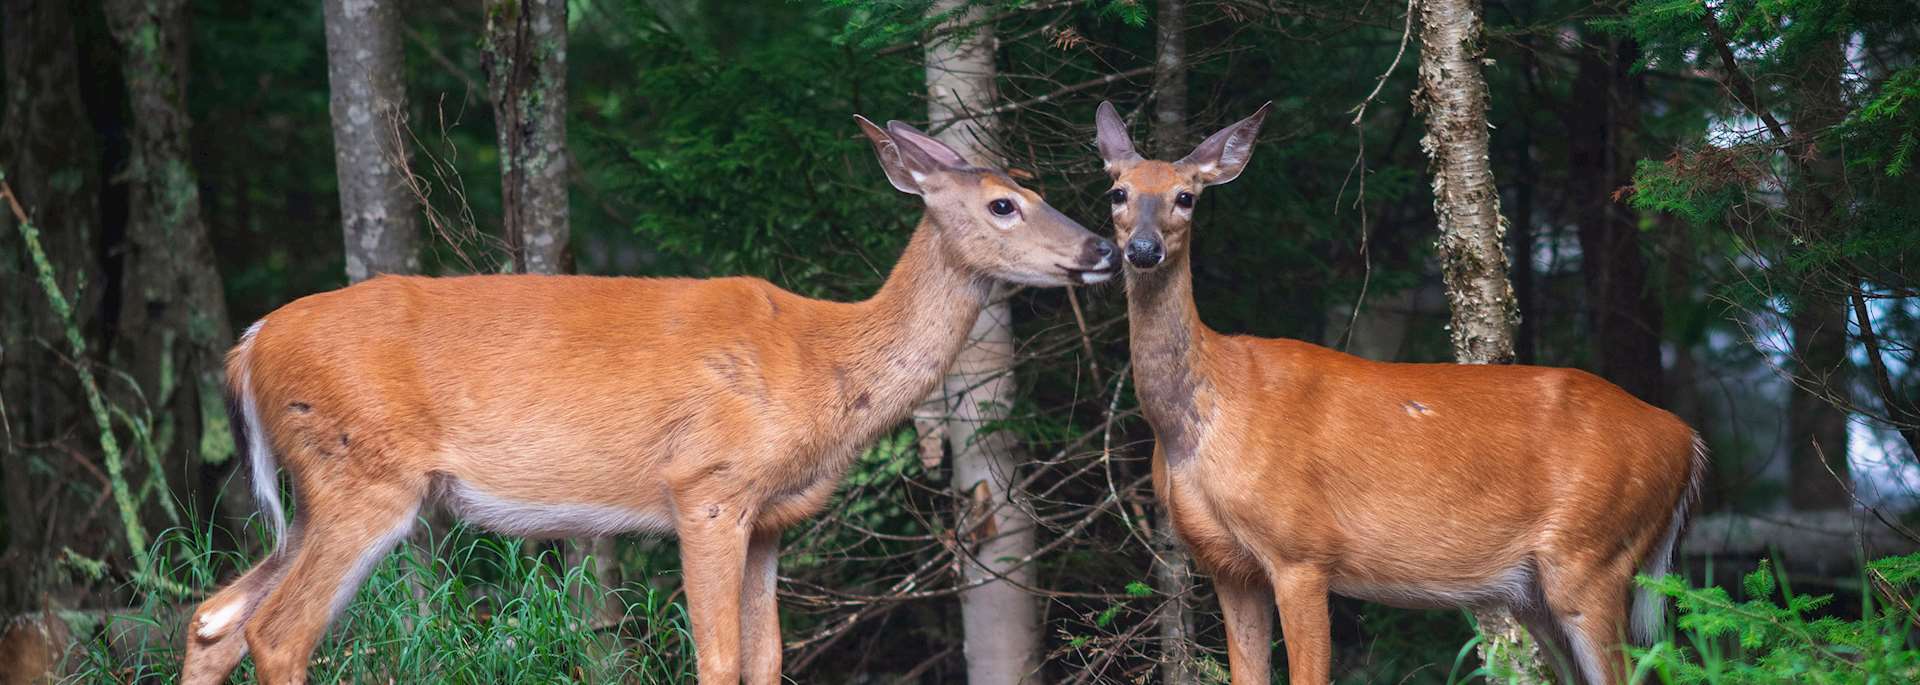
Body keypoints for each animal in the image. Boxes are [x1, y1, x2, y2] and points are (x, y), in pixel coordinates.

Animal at [180, 115, 1119, 685]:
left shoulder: (770, 517)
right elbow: (720, 662)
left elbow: (765, 662)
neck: (822, 363)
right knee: (278, 629)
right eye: (1004, 203)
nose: (1106, 247)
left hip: (320, 491)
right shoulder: (706, 484)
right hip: (363, 475)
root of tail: (250, 342)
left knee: (214, 616)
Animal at [1093, 101, 1706, 685]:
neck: (1204, 418)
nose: (1142, 249)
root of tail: (1686, 438)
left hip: (1594, 554)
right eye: (1118, 192)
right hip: (1537, 589)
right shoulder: (1226, 566)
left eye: (1186, 197)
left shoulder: (1302, 550)